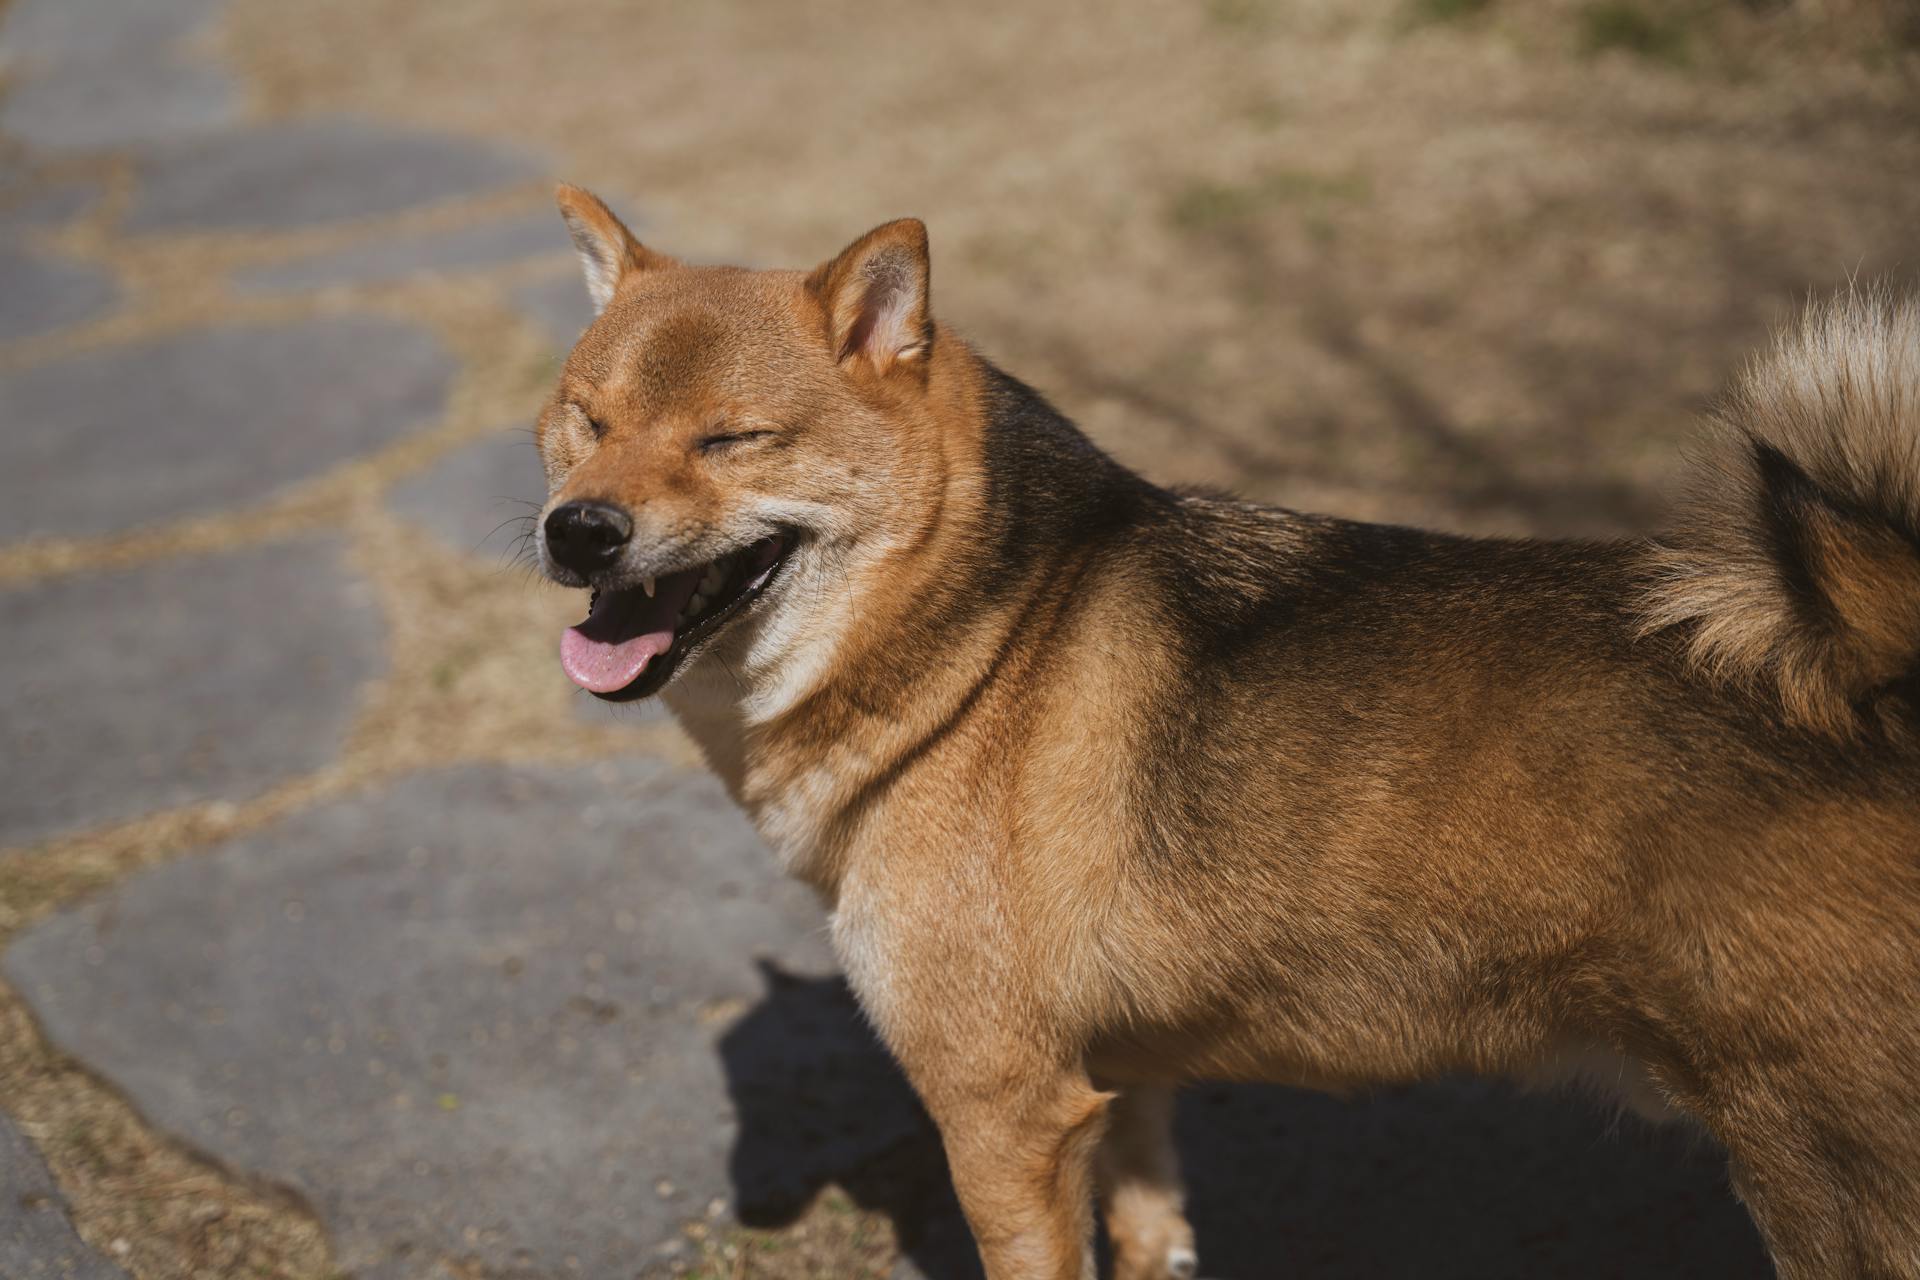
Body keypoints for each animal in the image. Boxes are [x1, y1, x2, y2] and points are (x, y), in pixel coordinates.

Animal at [529, 182, 1920, 1280]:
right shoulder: (1119, 1084)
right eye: (587, 418)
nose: (577, 530)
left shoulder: (1004, 1116)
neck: (984, 646)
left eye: (731, 439)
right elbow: (1153, 1230)